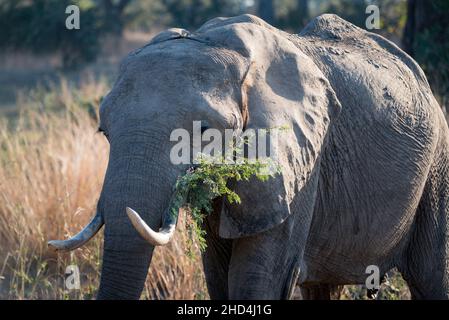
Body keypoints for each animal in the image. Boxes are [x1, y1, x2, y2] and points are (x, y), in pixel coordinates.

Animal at [48, 13, 448, 298]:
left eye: (204, 132)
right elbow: (218, 275)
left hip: (439, 163)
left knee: (432, 277)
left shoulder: (301, 168)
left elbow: (256, 280)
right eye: (105, 133)